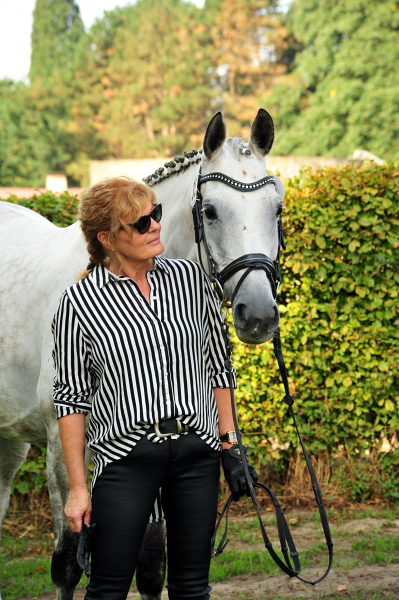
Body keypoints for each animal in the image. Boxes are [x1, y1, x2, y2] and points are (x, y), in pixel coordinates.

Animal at [0, 110, 282, 596]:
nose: (259, 315)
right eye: (210, 211)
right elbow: (68, 563)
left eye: (277, 209)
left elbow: (151, 566)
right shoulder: (62, 448)